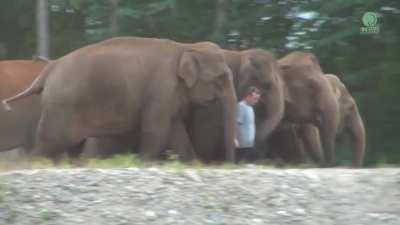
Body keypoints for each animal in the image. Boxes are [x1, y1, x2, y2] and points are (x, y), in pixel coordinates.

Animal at [1, 37, 236, 163]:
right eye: (221, 78)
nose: (227, 162)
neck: (185, 46)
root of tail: (48, 69)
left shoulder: (170, 95)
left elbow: (176, 131)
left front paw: (194, 164)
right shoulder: (161, 90)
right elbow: (156, 130)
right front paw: (143, 162)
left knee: (69, 146)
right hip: (61, 106)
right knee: (50, 143)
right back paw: (33, 164)